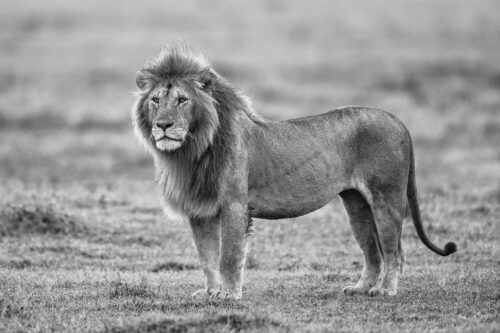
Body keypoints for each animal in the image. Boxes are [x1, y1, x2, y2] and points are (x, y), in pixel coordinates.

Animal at [130, 44, 458, 298]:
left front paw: (229, 295)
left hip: (386, 198)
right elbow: (207, 257)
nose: (163, 125)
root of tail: (397, 120)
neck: (193, 148)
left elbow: (229, 256)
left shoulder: (235, 204)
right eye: (156, 100)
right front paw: (211, 292)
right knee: (373, 252)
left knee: (394, 252)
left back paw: (386, 290)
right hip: (357, 205)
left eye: (183, 100)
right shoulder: (200, 210)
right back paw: (361, 289)